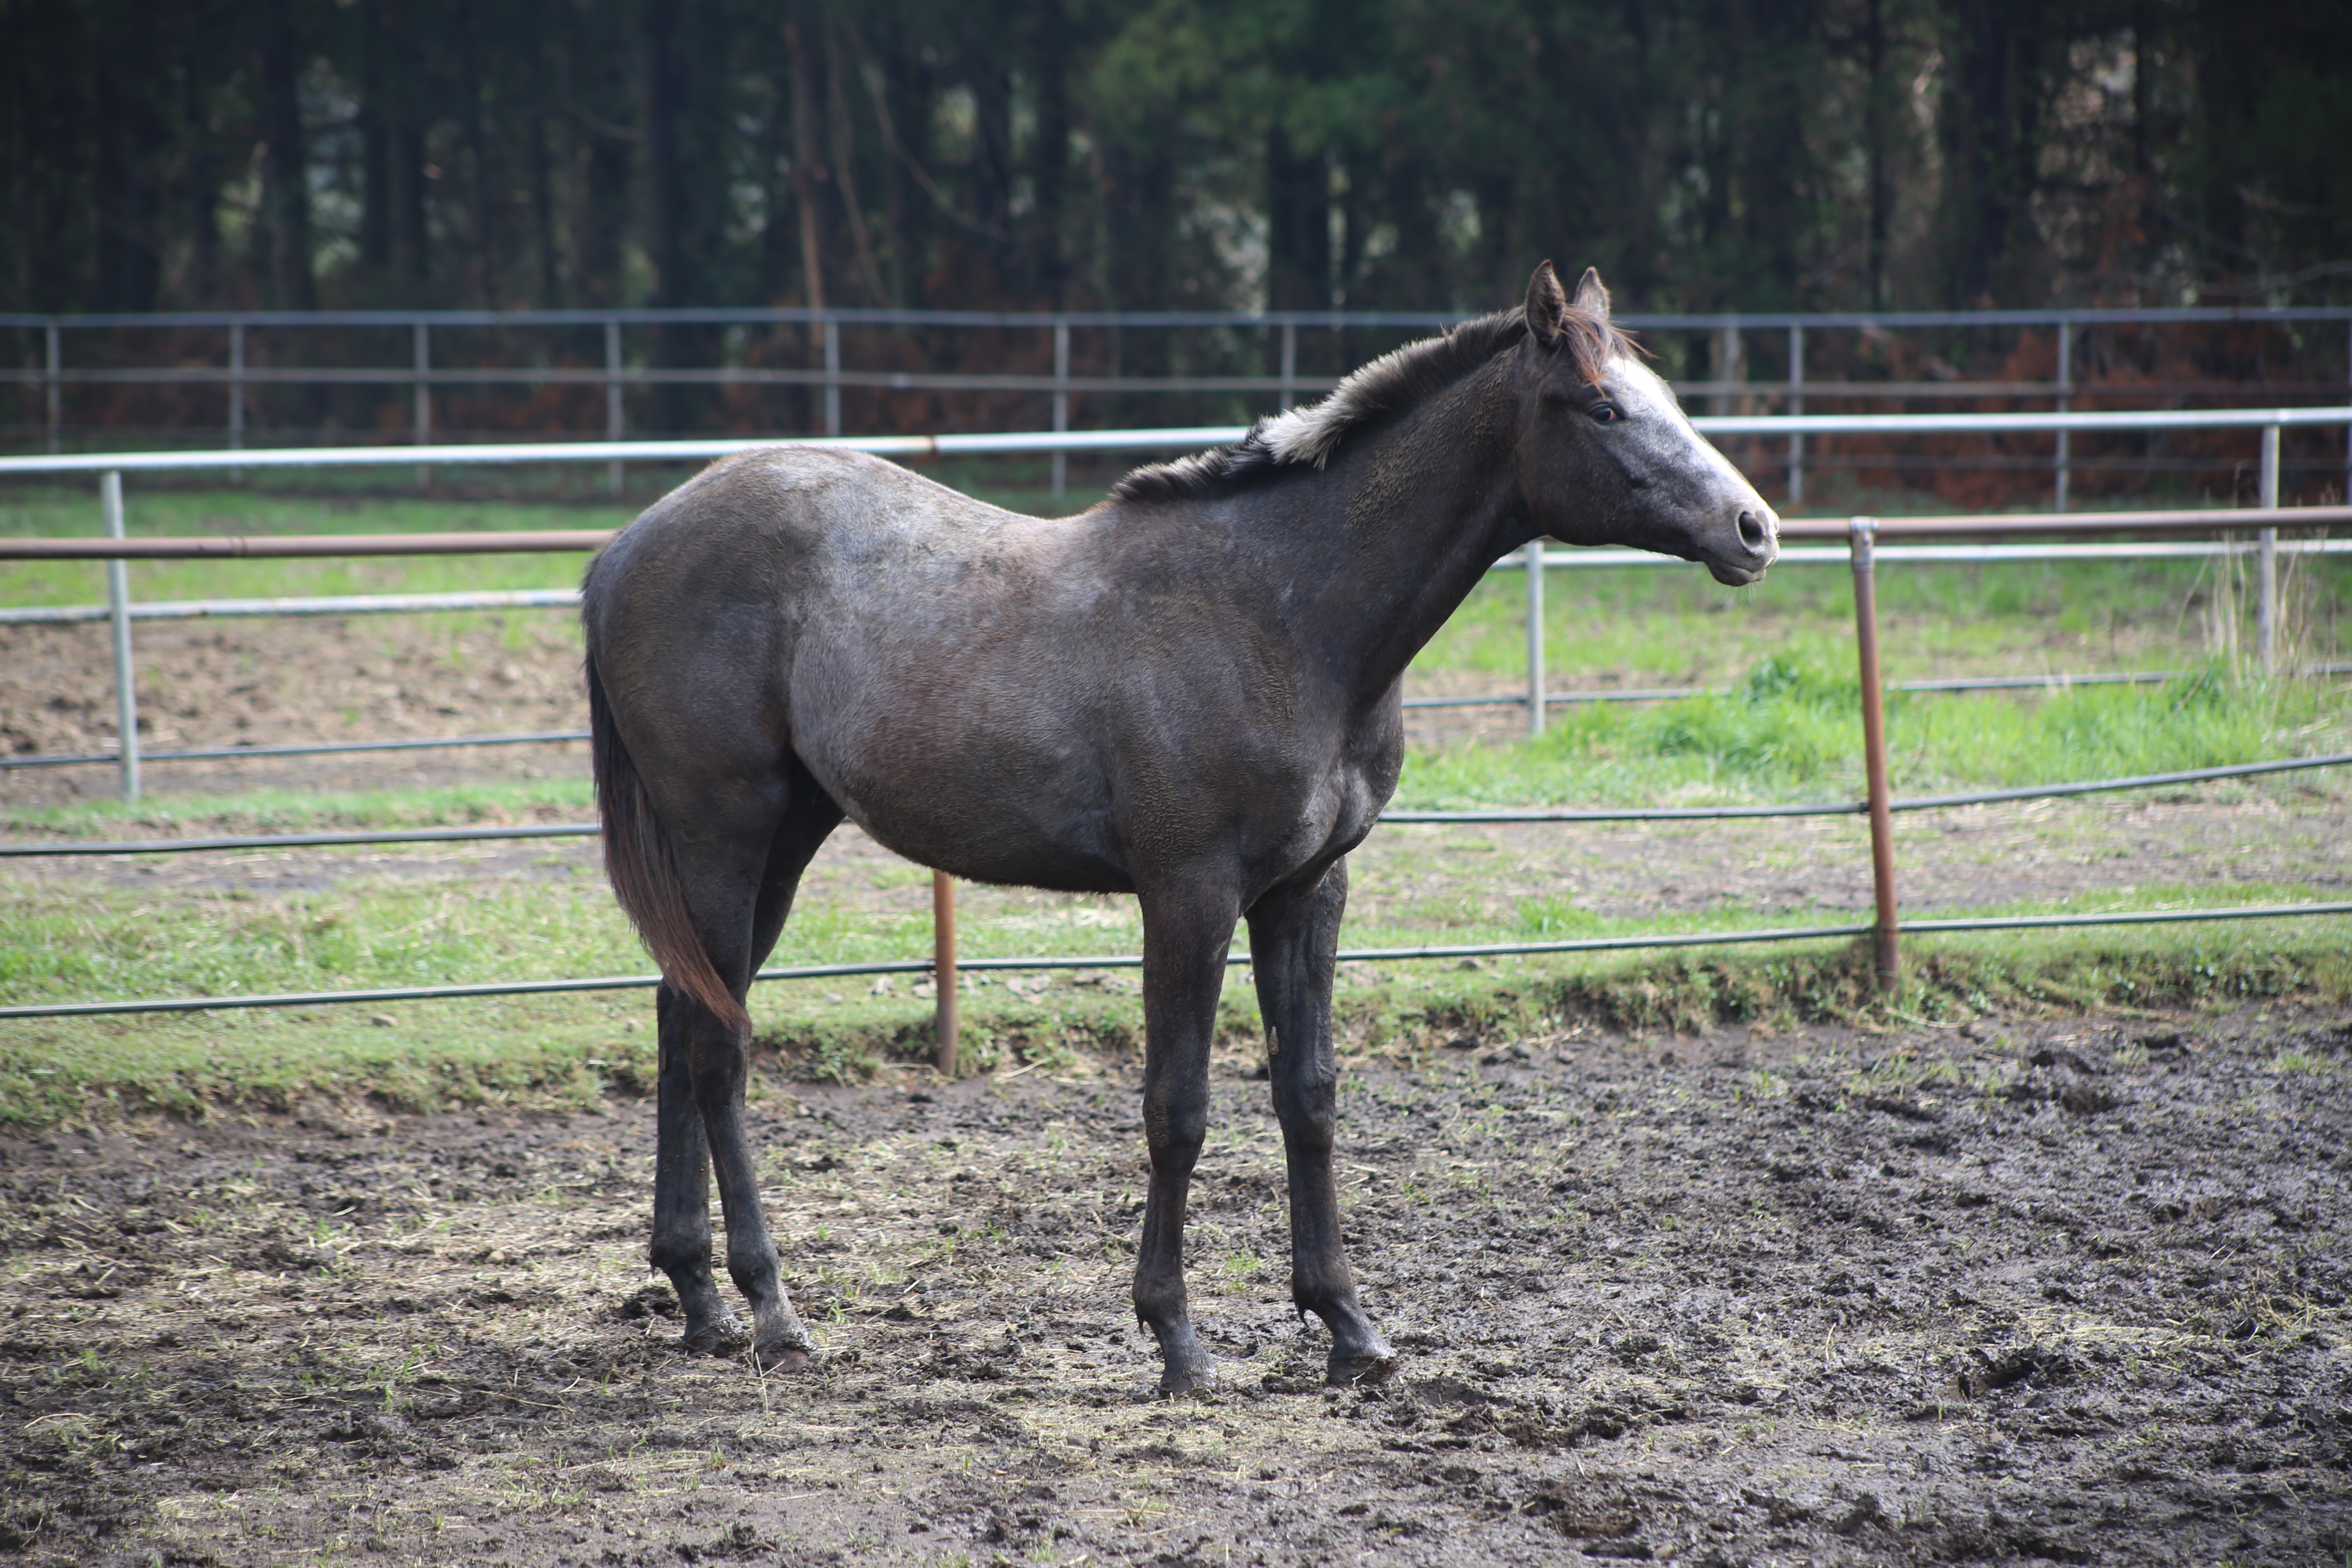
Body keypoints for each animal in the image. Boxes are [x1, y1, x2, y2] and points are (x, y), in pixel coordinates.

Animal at [578, 263, 1768, 1392]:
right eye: (1601, 406)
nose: (1753, 528)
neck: (1283, 612)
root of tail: (622, 550)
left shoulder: (1306, 891)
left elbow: (1308, 1096)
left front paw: (1348, 1327)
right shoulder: (1189, 894)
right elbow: (1179, 1108)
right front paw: (1177, 1340)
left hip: (782, 839)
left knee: (683, 1015)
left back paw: (700, 1299)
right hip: (727, 832)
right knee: (720, 1047)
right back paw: (772, 1307)